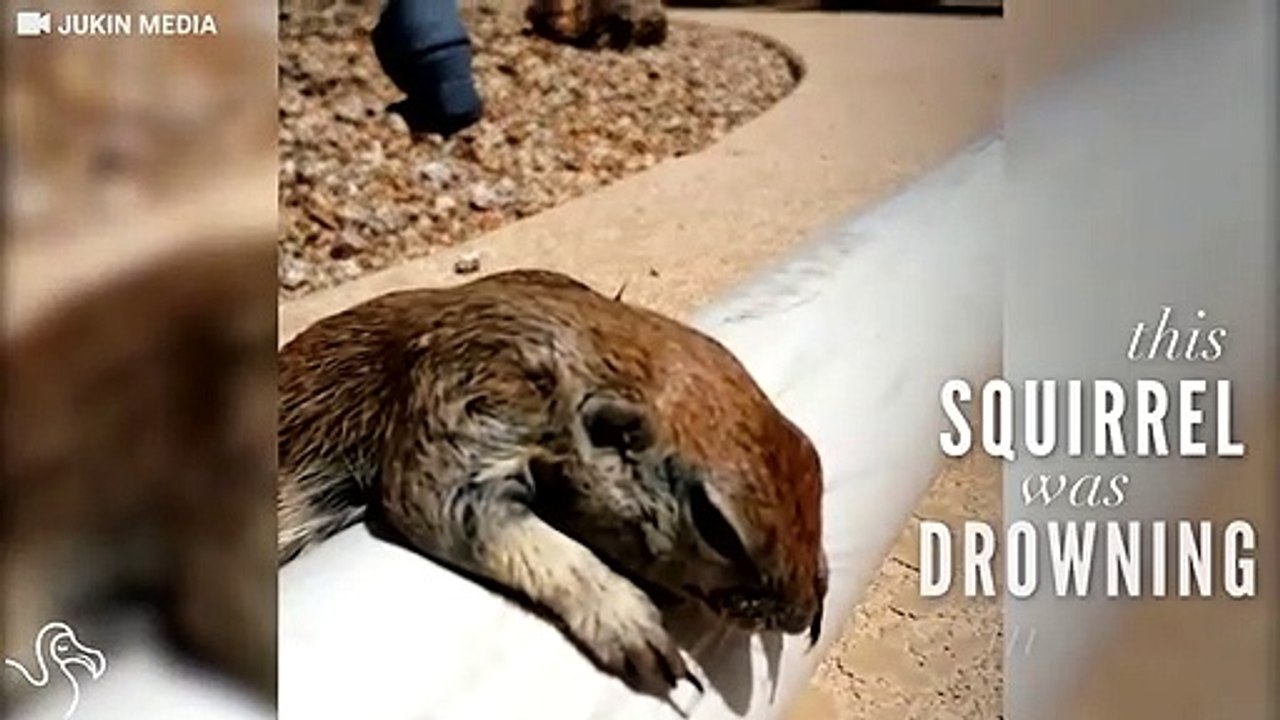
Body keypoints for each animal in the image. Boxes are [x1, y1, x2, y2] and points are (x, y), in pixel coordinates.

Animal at [278, 268, 827, 696]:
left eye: (815, 465)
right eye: (717, 527)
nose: (801, 617)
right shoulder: (469, 398)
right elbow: (447, 505)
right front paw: (624, 616)